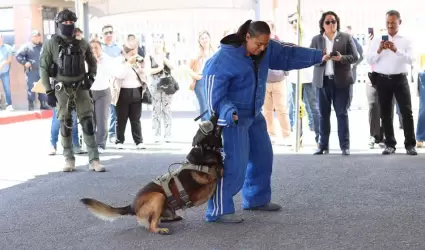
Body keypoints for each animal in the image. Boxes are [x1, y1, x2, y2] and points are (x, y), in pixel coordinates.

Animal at [80, 113, 224, 234]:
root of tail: (132, 206)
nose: (214, 112)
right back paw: (161, 230)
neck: (205, 152)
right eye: (209, 126)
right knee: (151, 226)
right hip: (158, 196)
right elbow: (220, 168)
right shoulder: (212, 174)